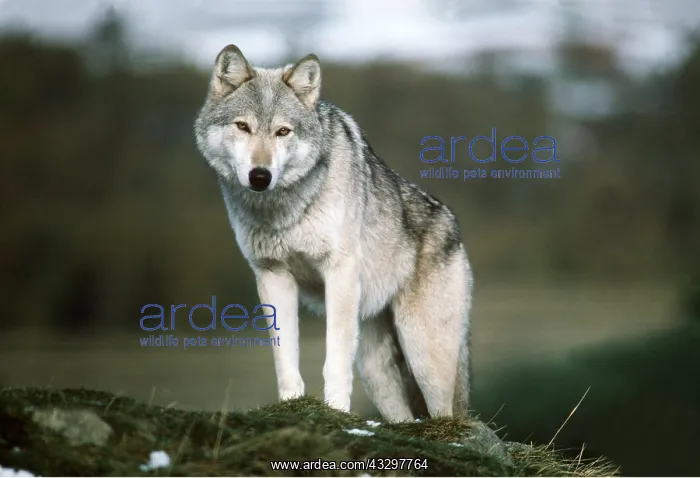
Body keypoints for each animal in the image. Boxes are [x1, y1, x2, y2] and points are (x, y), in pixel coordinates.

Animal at [193, 45, 474, 422]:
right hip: (376, 371)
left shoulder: (338, 272)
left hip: (424, 355)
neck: (283, 211)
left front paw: (336, 410)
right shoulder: (272, 274)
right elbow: (285, 359)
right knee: (403, 416)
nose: (260, 176)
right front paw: (291, 404)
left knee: (447, 414)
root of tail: (453, 223)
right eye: (243, 126)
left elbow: (334, 362)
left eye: (283, 131)